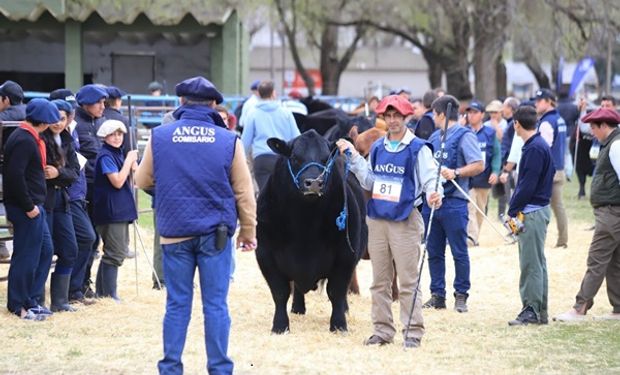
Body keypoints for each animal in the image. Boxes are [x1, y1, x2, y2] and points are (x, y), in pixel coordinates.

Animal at [256, 130, 368, 334]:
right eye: (294, 157)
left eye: (326, 158)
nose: (314, 183)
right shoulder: (265, 254)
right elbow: (280, 292)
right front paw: (280, 326)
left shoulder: (346, 256)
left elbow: (336, 291)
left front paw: (339, 325)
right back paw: (297, 308)